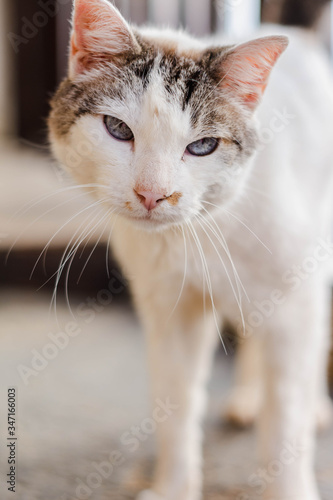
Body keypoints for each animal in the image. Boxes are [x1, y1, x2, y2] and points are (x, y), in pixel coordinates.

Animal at [48, 0, 332, 500]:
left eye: (202, 146)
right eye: (117, 129)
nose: (152, 194)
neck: (196, 236)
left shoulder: (293, 306)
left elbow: (285, 423)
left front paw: (289, 487)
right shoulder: (169, 311)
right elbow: (175, 408)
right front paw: (175, 487)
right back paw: (246, 399)